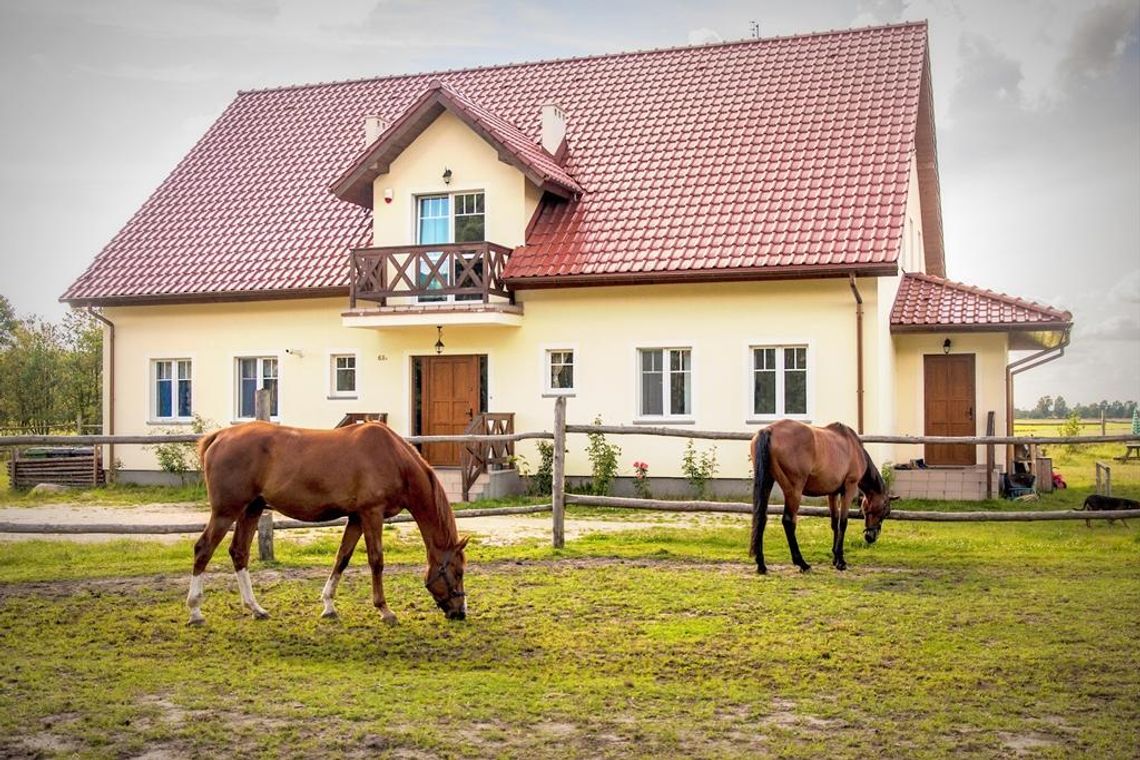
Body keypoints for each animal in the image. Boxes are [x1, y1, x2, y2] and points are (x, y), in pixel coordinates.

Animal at [189, 421, 465, 624]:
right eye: (458, 572)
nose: (460, 612)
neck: (394, 458)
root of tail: (219, 437)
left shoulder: (356, 518)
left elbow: (342, 558)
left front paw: (329, 605)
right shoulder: (371, 514)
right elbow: (376, 561)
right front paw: (385, 610)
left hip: (252, 509)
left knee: (239, 552)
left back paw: (256, 608)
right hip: (226, 512)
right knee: (203, 549)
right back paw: (195, 611)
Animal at [752, 419, 893, 574]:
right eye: (886, 512)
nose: (871, 537)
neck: (854, 447)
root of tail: (769, 430)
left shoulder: (832, 493)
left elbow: (834, 523)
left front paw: (835, 558)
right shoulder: (849, 488)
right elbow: (843, 523)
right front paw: (841, 561)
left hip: (766, 482)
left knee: (761, 517)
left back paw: (761, 564)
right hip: (794, 491)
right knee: (788, 521)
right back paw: (802, 563)